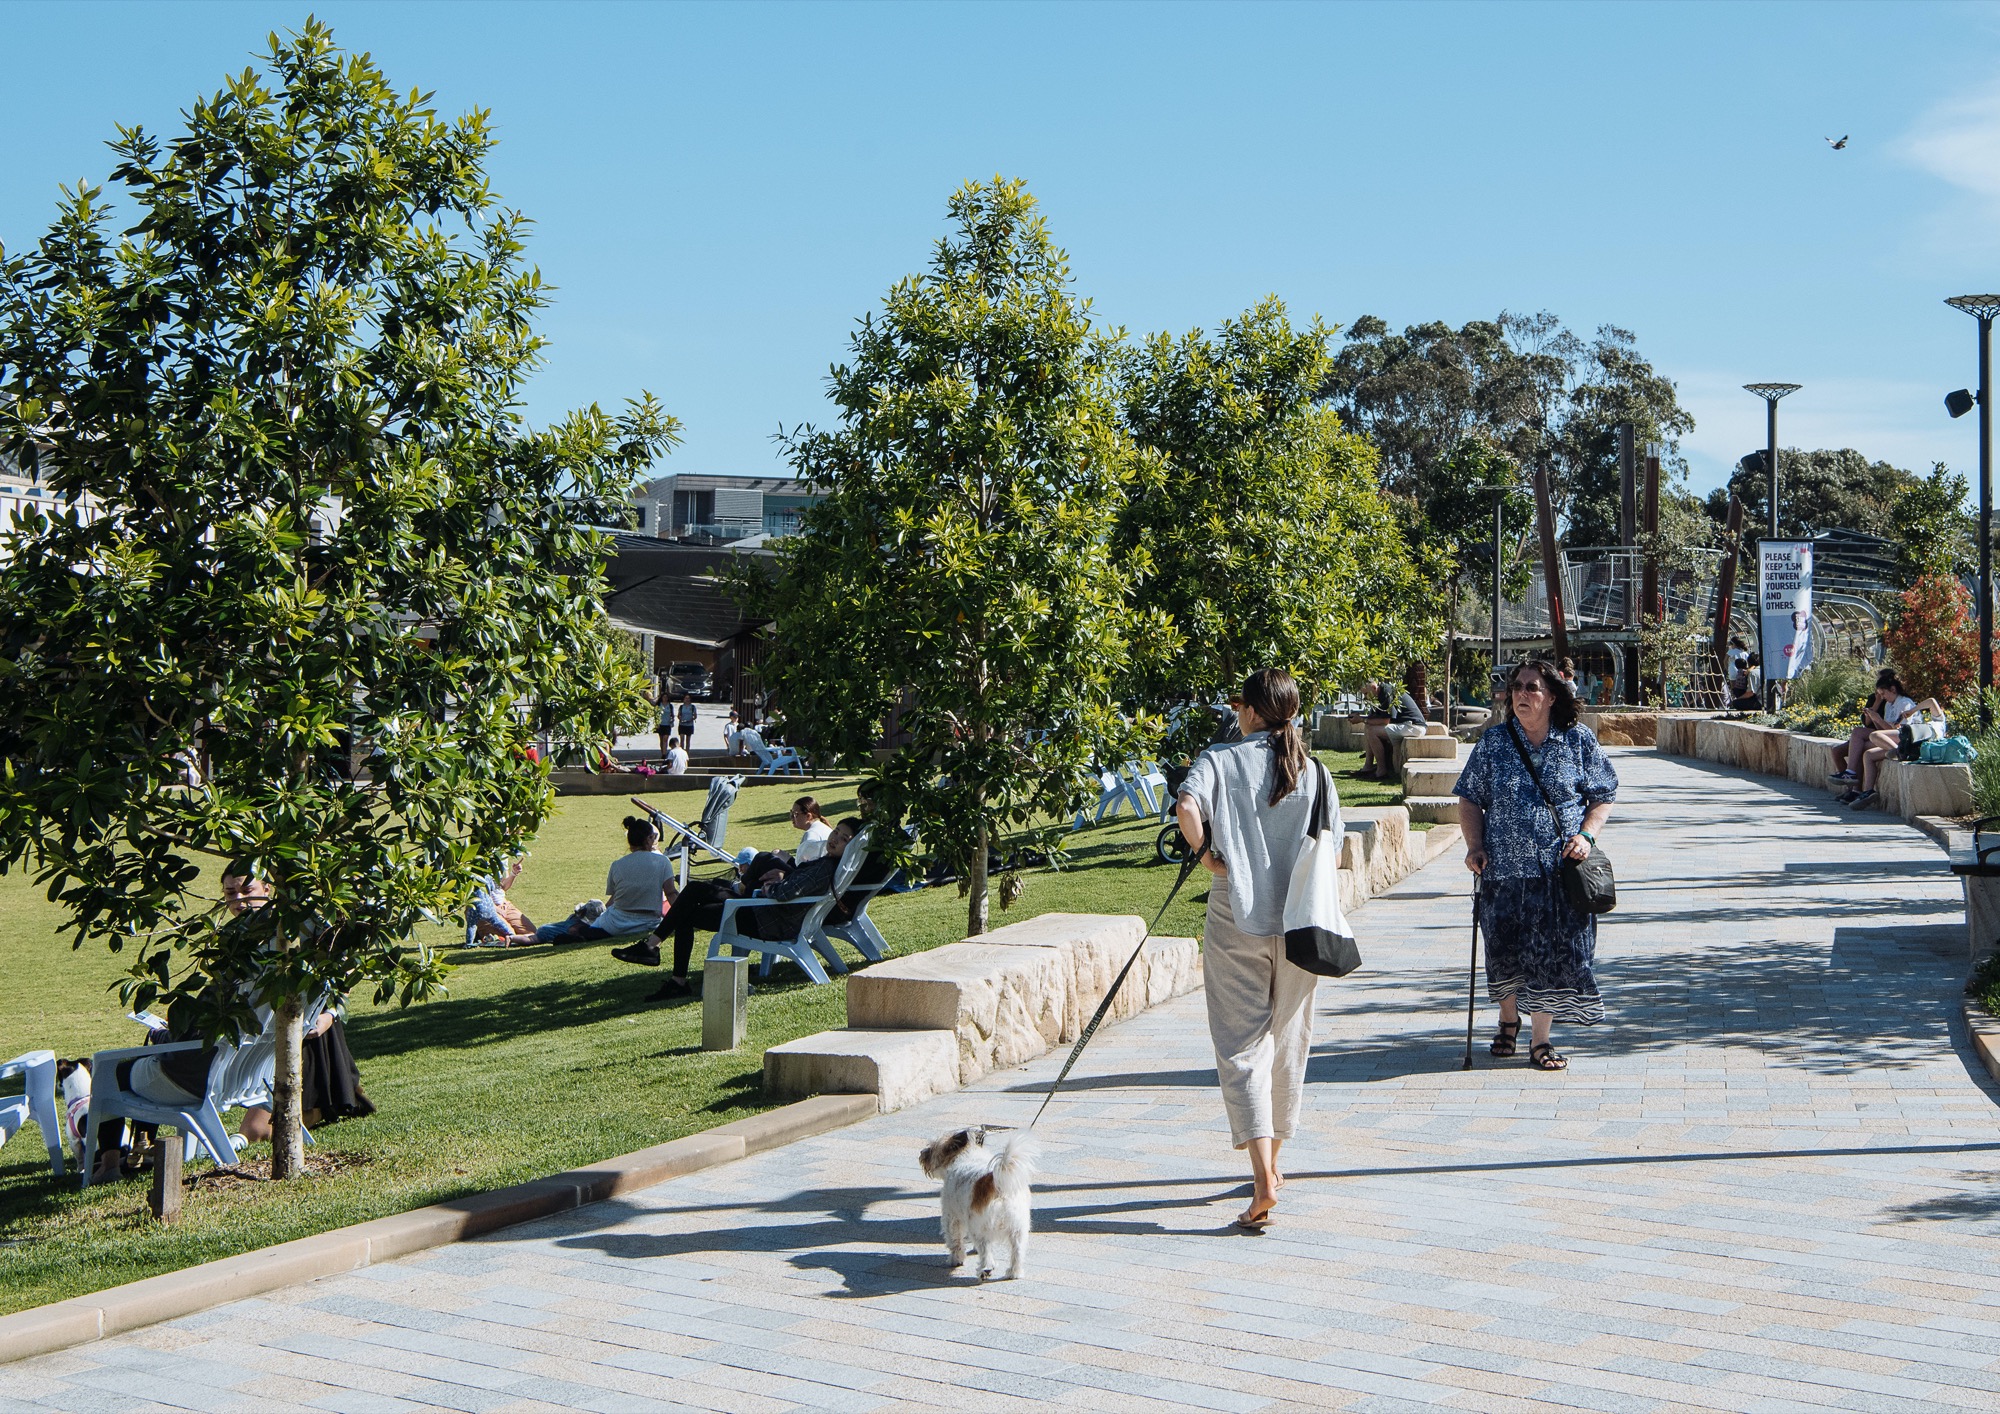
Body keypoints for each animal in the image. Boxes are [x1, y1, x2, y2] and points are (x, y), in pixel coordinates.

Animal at [916, 1128, 1040, 1280]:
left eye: (932, 1147)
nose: (922, 1153)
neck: (966, 1154)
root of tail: (994, 1182)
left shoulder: (951, 1217)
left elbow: (955, 1240)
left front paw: (955, 1259)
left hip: (979, 1228)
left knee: (985, 1250)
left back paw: (985, 1269)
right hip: (1019, 1229)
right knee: (1017, 1252)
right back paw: (1014, 1272)